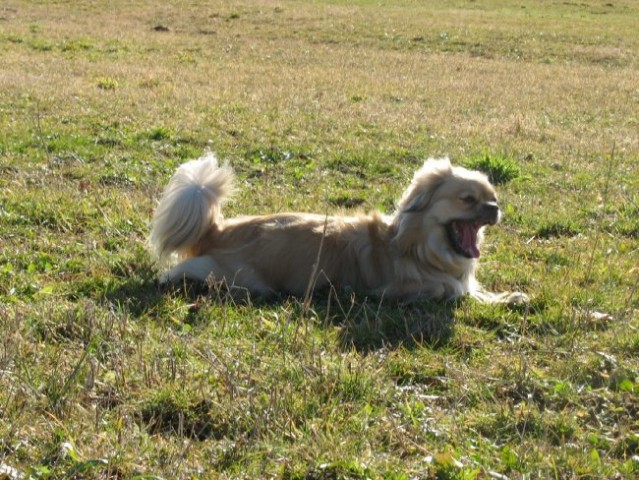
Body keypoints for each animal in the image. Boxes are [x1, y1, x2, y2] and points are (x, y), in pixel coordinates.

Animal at [150, 153, 524, 304]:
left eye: (492, 198)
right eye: (468, 200)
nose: (494, 209)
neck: (419, 248)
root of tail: (217, 229)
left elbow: (478, 293)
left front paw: (510, 297)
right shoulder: (399, 289)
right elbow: (448, 290)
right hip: (243, 281)